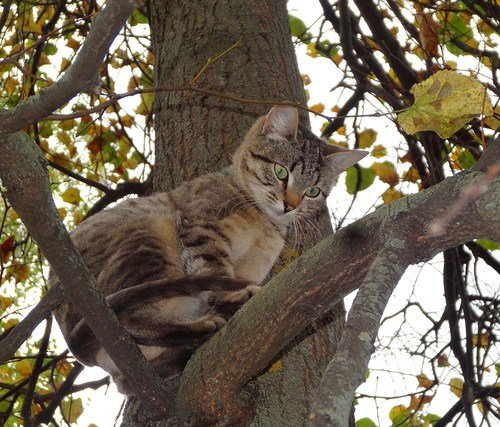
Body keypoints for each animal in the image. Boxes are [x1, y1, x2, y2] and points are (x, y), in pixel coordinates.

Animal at [48, 104, 366, 394]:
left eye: (313, 191)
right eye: (280, 172)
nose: (290, 205)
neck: (264, 224)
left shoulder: (253, 265)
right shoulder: (202, 229)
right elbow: (216, 272)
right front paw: (235, 297)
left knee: (128, 380)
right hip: (148, 238)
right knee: (129, 319)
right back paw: (201, 328)